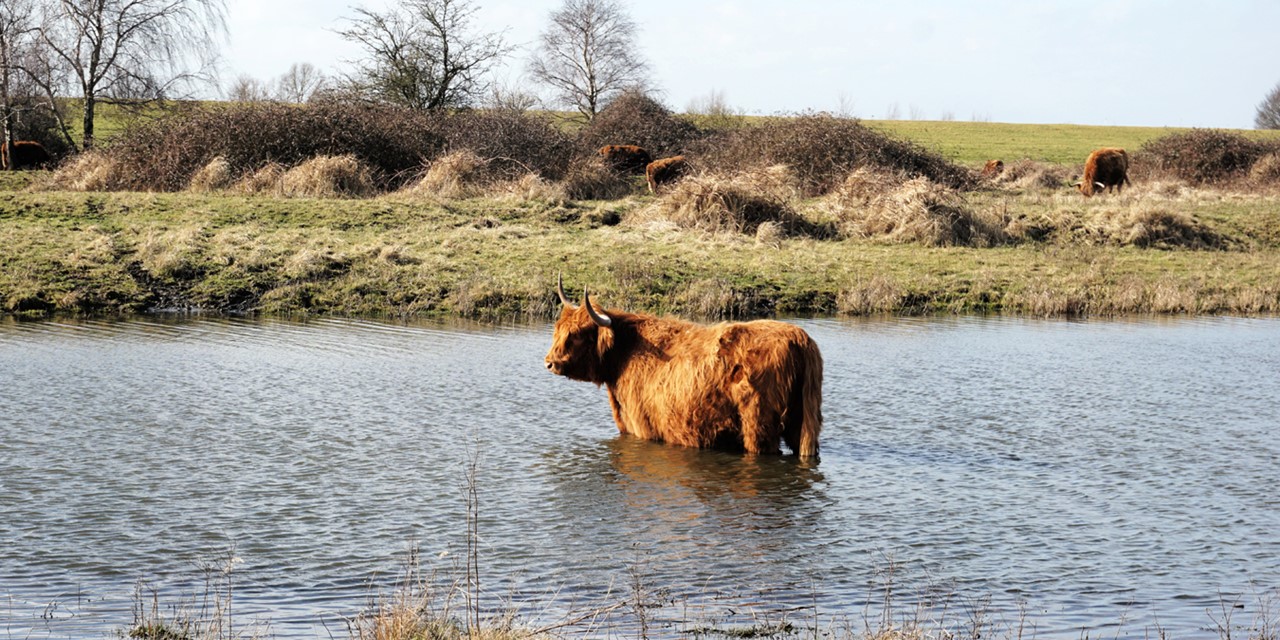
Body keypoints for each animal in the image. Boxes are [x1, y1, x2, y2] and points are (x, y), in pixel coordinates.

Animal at [545, 275, 824, 460]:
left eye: (578, 335)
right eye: (558, 329)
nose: (549, 362)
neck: (624, 354)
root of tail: (799, 338)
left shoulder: (642, 427)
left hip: (758, 426)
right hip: (803, 422)